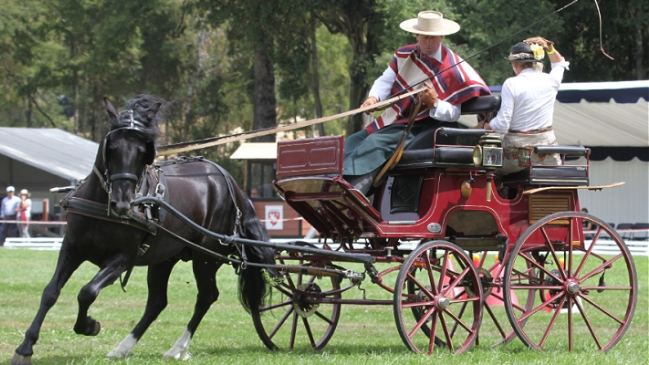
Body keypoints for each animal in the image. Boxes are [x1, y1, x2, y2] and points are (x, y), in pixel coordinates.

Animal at [12, 94, 276, 364]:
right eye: (111, 148)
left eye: (143, 152)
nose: (122, 204)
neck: (104, 207)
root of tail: (232, 183)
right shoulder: (72, 249)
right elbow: (50, 292)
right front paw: (25, 347)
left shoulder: (122, 259)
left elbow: (87, 292)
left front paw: (88, 325)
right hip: (164, 257)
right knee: (157, 302)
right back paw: (123, 348)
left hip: (206, 256)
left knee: (206, 296)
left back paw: (178, 348)